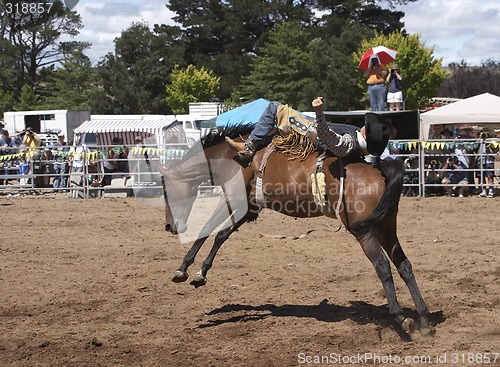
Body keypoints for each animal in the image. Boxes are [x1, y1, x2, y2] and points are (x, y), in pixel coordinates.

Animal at [161, 127, 434, 336]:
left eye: (164, 191)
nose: (169, 227)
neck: (232, 157)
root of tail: (380, 169)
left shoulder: (233, 200)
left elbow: (207, 230)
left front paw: (183, 270)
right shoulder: (248, 209)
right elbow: (221, 234)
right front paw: (200, 273)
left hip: (366, 233)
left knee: (383, 267)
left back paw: (401, 319)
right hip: (387, 228)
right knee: (404, 265)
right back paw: (424, 320)